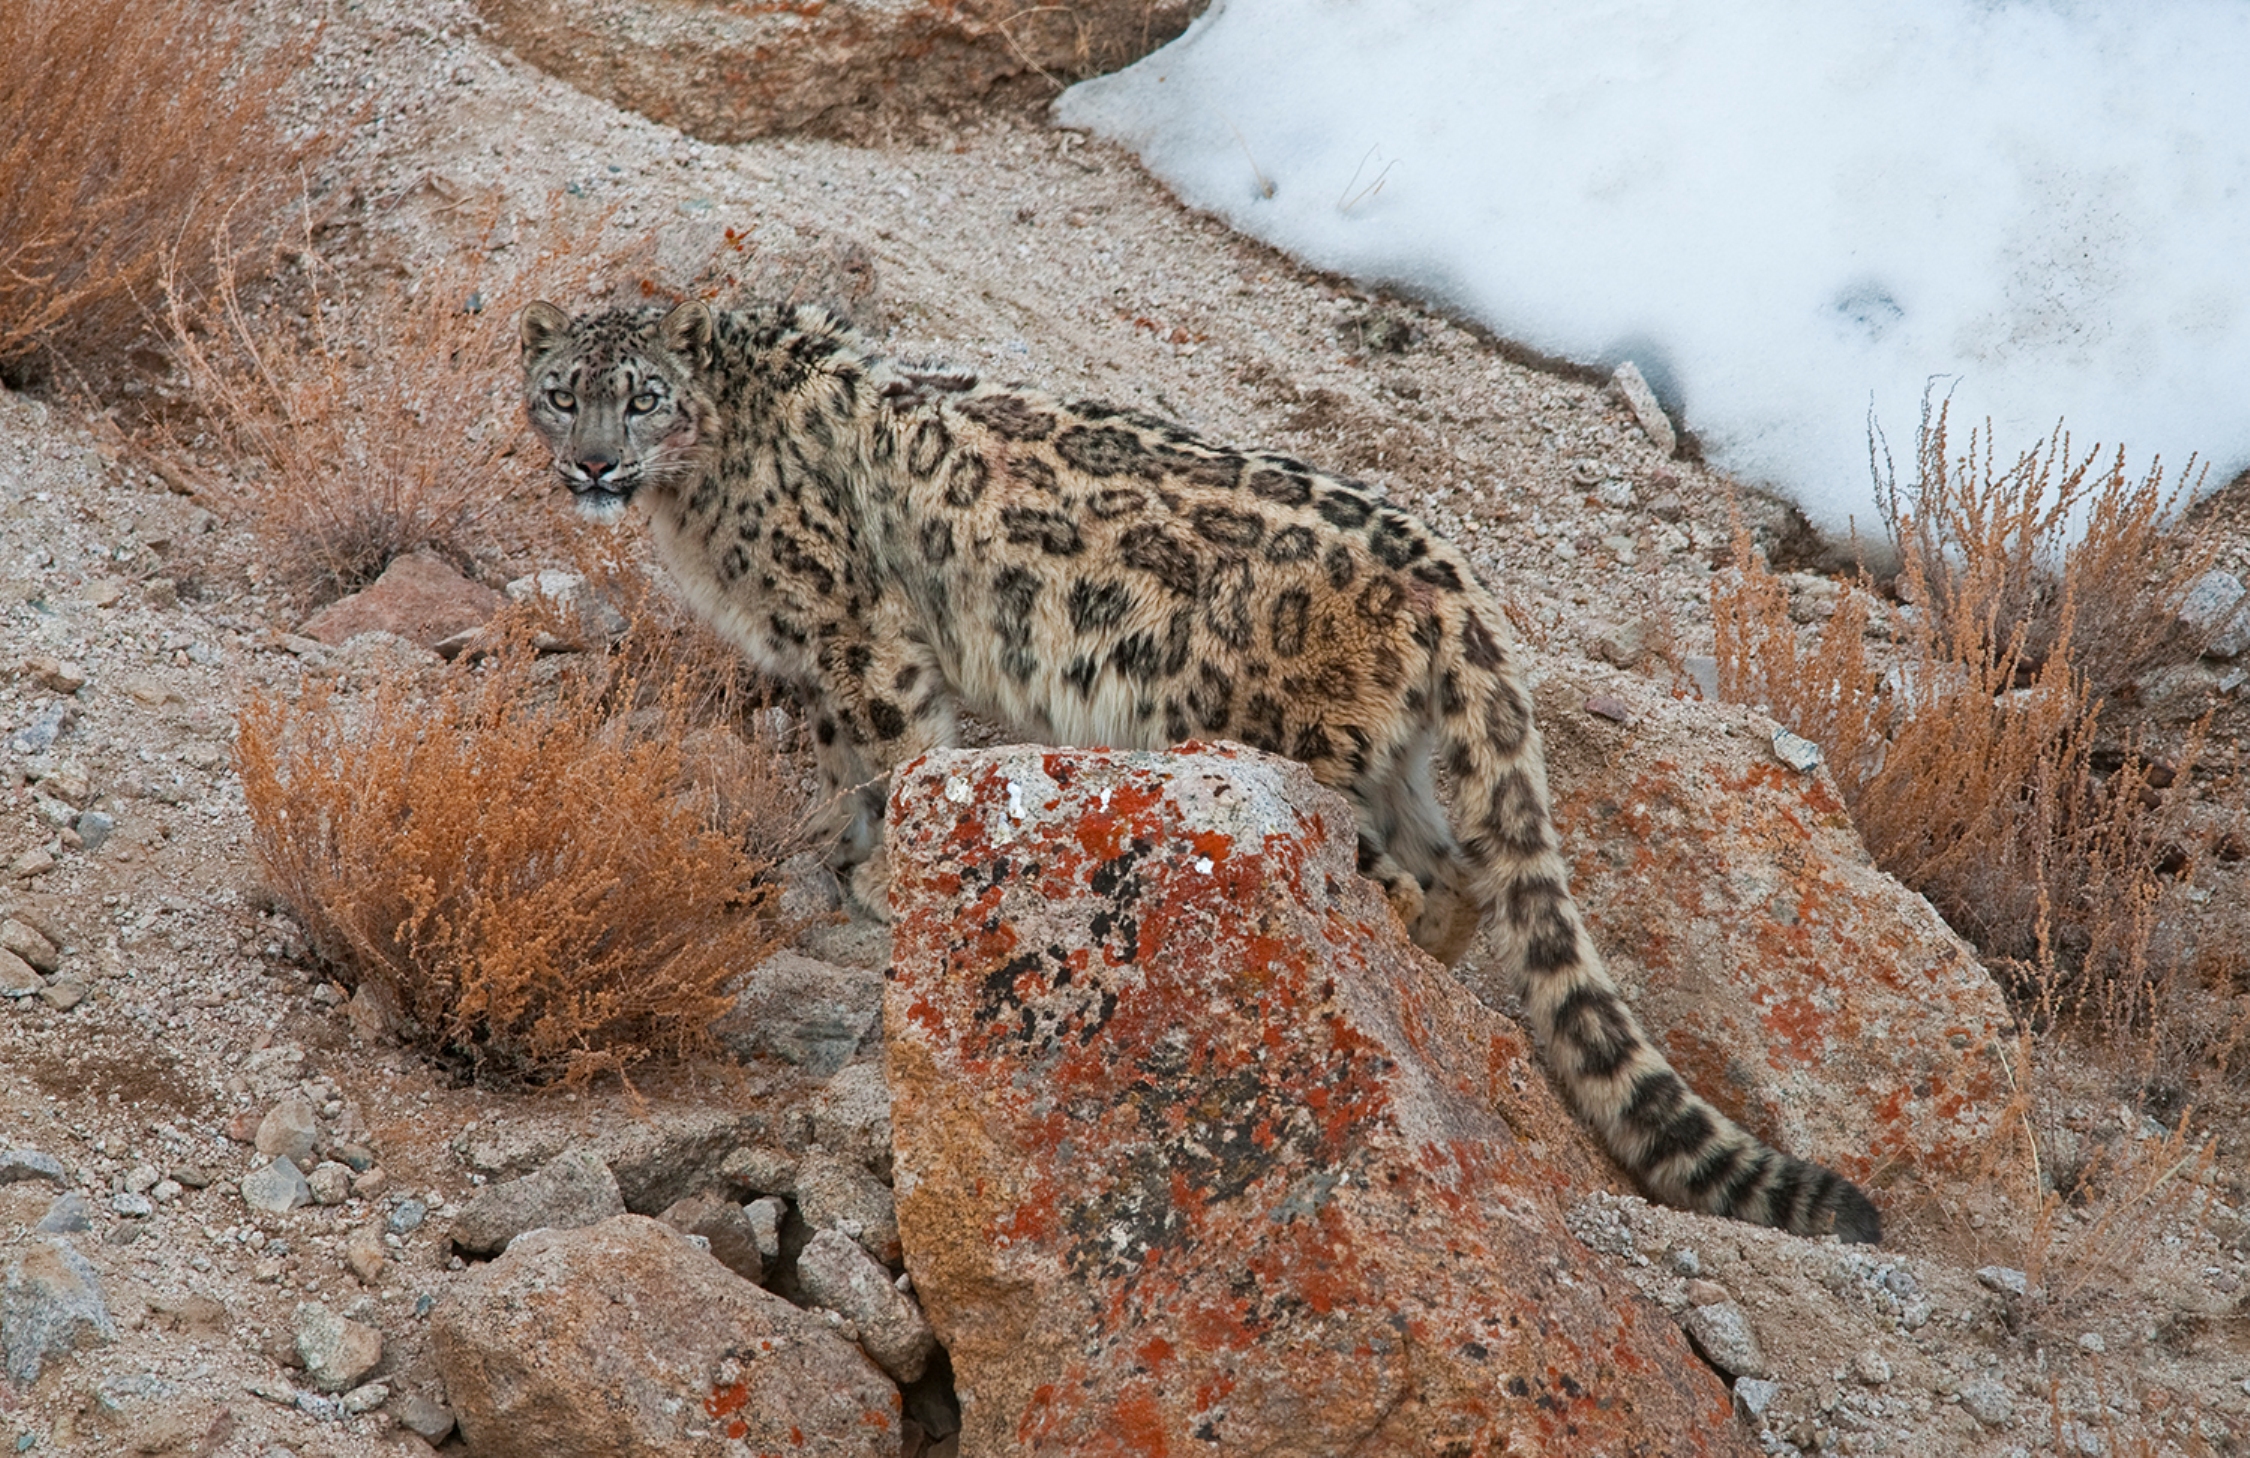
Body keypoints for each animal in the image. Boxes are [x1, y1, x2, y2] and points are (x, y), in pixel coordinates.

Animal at [522, 297, 1881, 1242]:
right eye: (558, 392)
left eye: (642, 397)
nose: (590, 465)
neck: (697, 513)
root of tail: (1450, 576)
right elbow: (852, 767)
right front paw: (845, 857)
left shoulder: (860, 634)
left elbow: (895, 752)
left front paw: (883, 885)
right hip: (1388, 760)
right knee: (1452, 866)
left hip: (1261, 733)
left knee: (1399, 873)